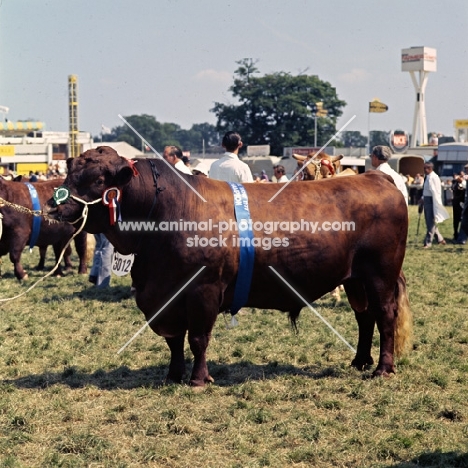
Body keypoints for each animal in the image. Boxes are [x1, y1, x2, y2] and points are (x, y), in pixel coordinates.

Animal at [43, 147, 410, 388]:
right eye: (70, 172)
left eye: (97, 179)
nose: (53, 205)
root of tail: (377, 178)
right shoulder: (164, 296)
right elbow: (174, 341)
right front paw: (173, 375)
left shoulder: (203, 291)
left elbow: (197, 338)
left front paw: (197, 379)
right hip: (355, 280)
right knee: (365, 317)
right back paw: (360, 360)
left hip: (380, 275)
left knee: (385, 316)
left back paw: (382, 368)